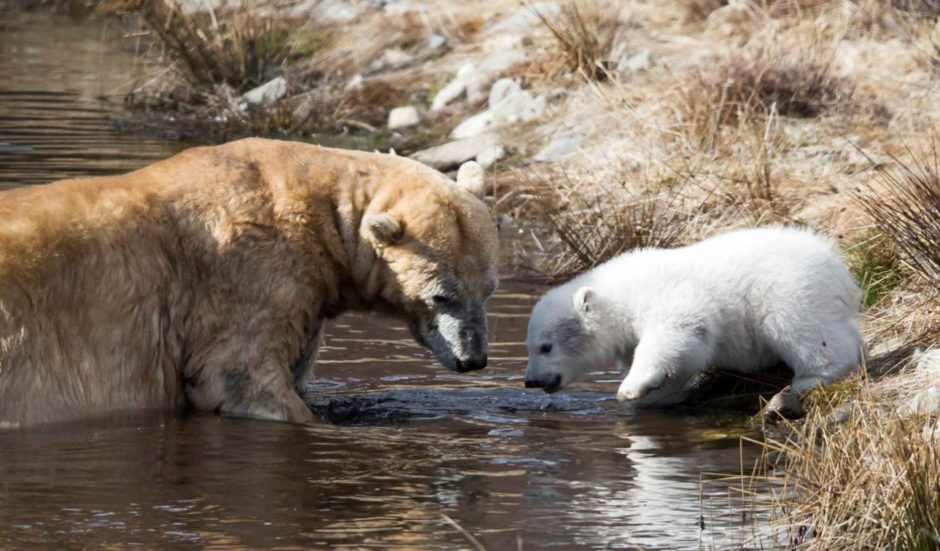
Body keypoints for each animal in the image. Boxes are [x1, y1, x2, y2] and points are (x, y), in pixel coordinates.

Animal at [524, 227, 864, 406]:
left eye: (546, 347)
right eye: (529, 347)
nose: (530, 381)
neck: (622, 292)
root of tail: (838, 269)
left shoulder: (669, 296)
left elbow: (679, 331)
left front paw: (630, 387)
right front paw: (654, 396)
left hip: (788, 288)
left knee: (803, 329)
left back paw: (811, 378)